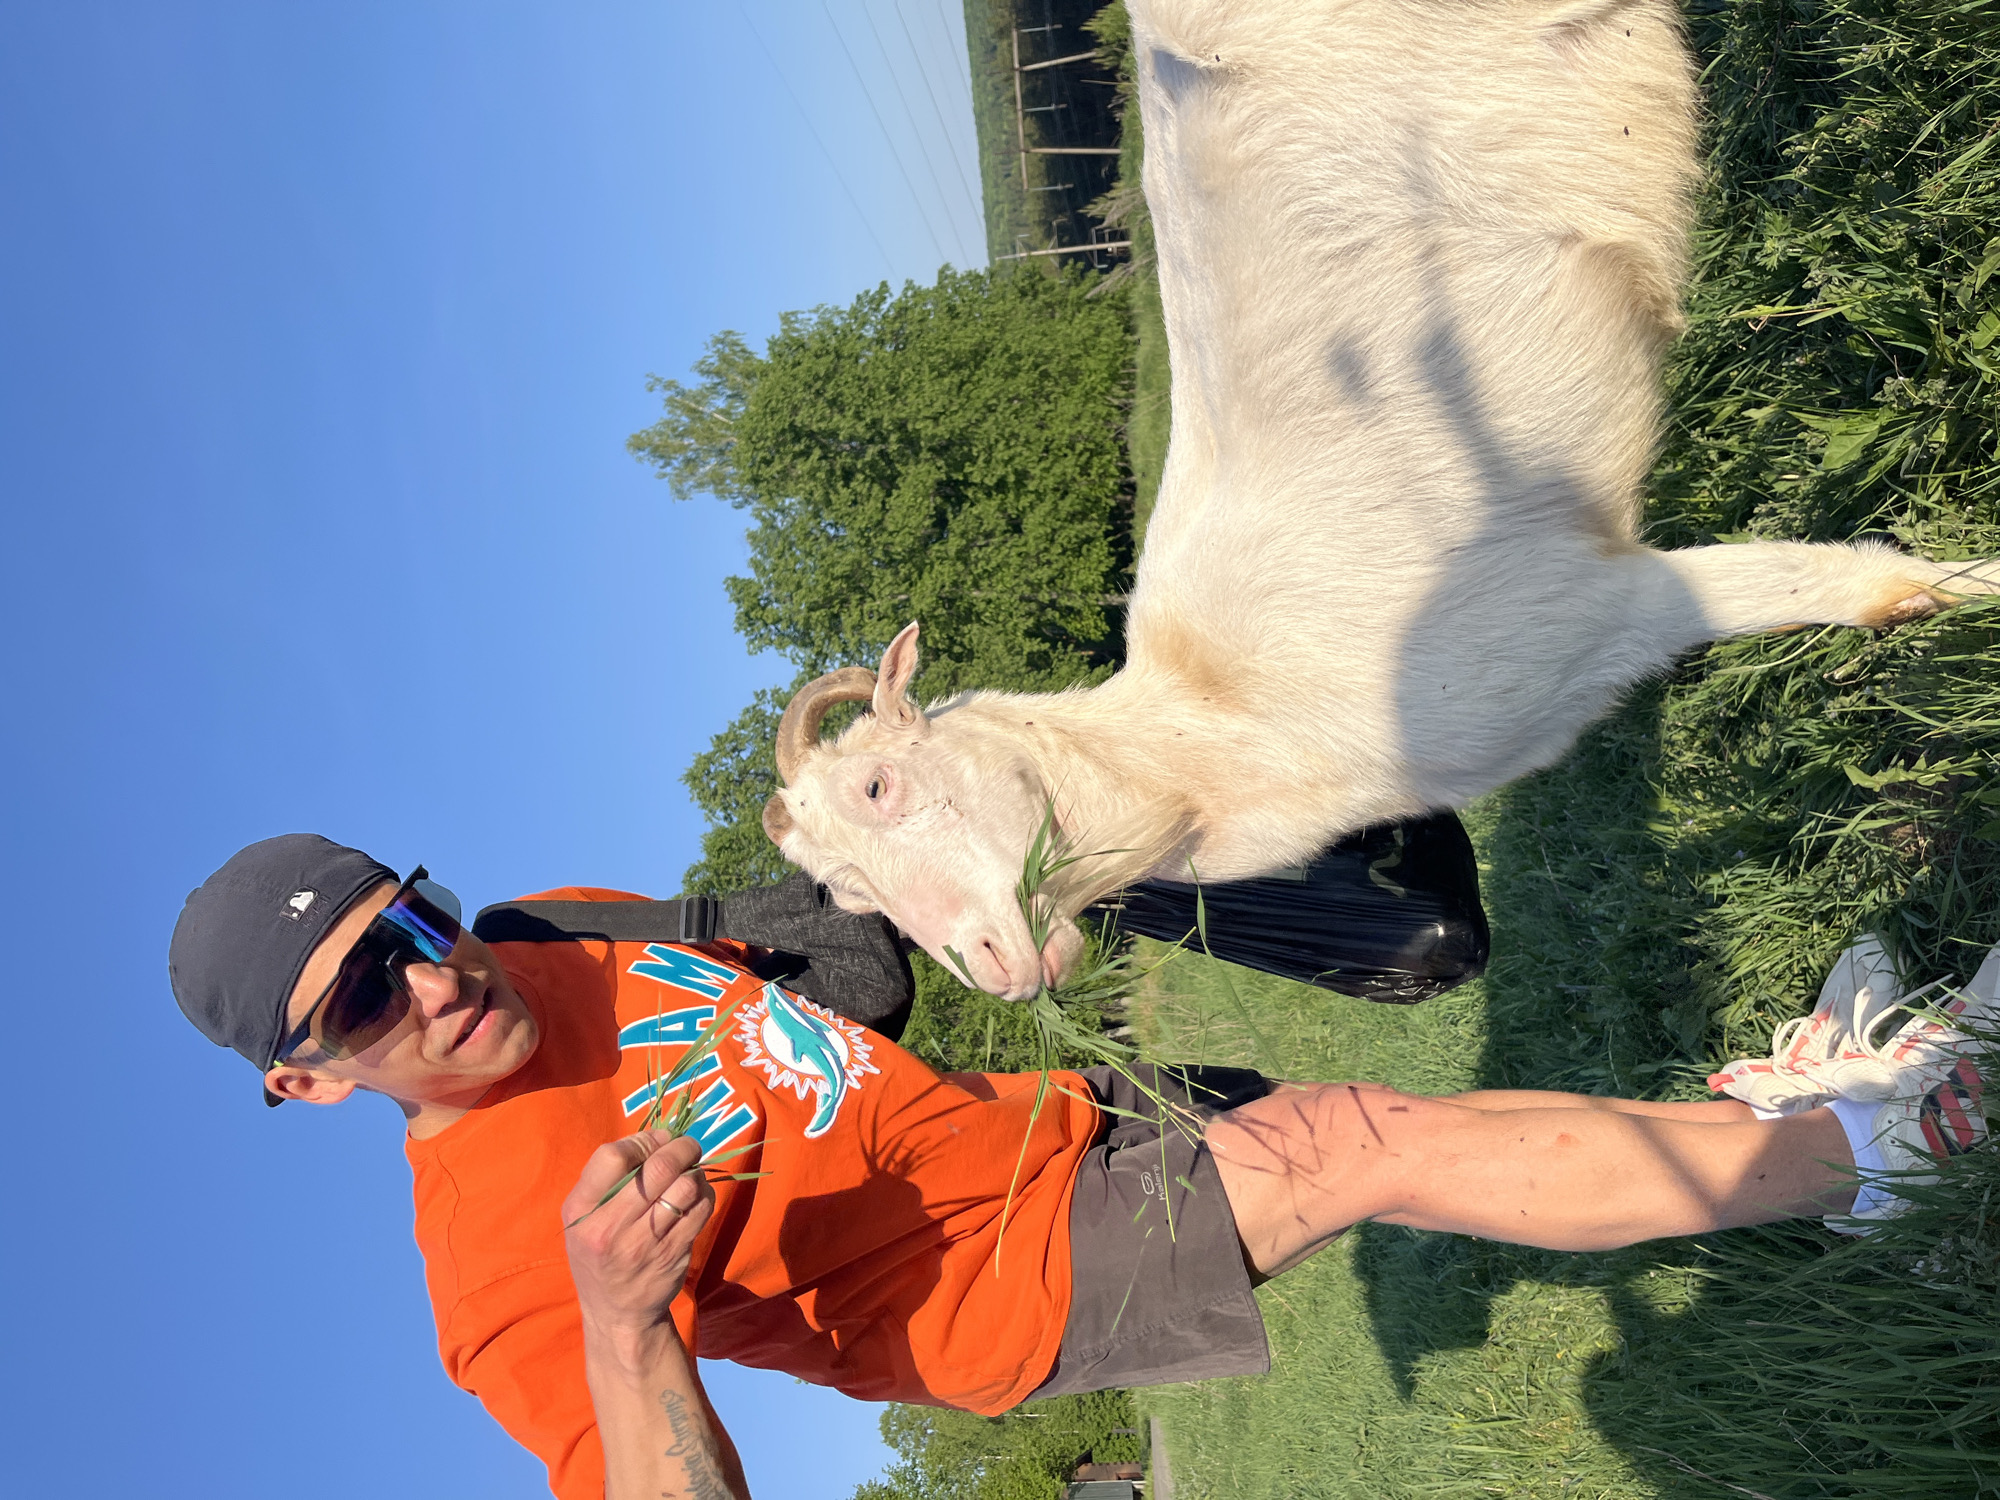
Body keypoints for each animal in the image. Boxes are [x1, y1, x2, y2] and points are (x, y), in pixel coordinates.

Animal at [759, 0, 1999, 1000]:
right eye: (849, 899)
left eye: (877, 782)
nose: (995, 970)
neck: (1220, 731)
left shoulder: (1580, 609)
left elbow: (1854, 583)